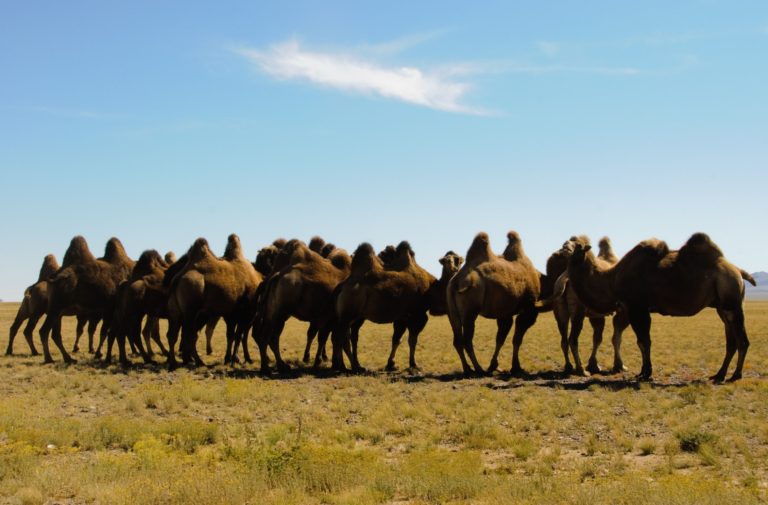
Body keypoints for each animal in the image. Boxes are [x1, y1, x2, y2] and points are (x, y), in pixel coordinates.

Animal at [166, 234, 261, 368]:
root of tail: (177, 279)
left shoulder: (231, 314)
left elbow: (231, 335)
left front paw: (229, 359)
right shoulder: (245, 313)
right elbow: (239, 336)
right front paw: (235, 360)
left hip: (176, 311)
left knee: (173, 334)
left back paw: (175, 362)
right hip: (191, 309)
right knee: (189, 335)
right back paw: (198, 361)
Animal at [447, 232, 541, 375]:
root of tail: (456, 282)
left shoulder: (505, 313)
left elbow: (500, 338)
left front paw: (495, 365)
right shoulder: (526, 309)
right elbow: (516, 338)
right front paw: (515, 367)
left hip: (452, 312)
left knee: (457, 340)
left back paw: (467, 368)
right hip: (470, 311)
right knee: (467, 339)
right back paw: (478, 368)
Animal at [548, 236, 628, 376]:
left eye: (578, 245)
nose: (565, 247)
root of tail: (565, 279)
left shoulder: (596, 315)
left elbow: (597, 338)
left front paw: (594, 365)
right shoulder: (622, 310)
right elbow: (616, 338)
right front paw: (619, 366)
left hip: (559, 310)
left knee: (563, 339)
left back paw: (568, 367)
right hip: (578, 311)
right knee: (573, 339)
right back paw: (581, 370)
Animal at [566, 232, 756, 381]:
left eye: (578, 245)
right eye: (568, 242)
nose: (564, 248)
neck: (611, 281)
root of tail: (737, 271)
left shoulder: (638, 308)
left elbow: (644, 341)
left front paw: (646, 374)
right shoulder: (634, 309)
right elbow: (642, 341)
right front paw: (643, 372)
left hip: (732, 301)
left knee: (742, 340)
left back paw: (735, 375)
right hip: (722, 307)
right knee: (731, 341)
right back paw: (719, 374)